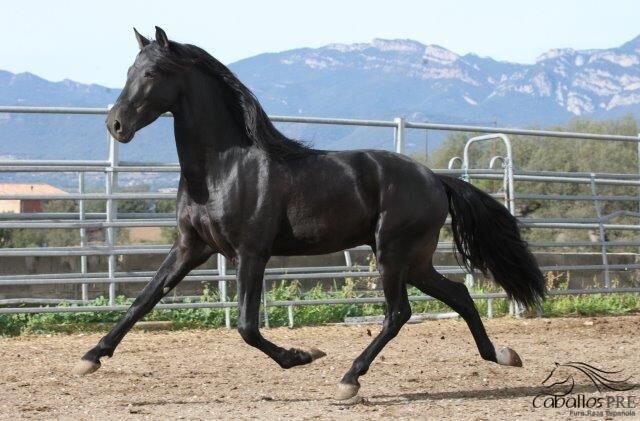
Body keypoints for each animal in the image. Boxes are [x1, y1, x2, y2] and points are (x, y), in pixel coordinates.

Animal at [75, 27, 544, 398]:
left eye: (152, 73)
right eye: (128, 71)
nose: (115, 125)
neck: (223, 168)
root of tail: (434, 179)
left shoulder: (251, 253)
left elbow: (247, 327)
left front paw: (304, 355)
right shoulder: (191, 247)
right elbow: (143, 300)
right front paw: (90, 357)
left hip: (393, 255)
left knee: (399, 314)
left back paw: (350, 380)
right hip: (415, 260)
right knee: (459, 295)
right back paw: (502, 355)